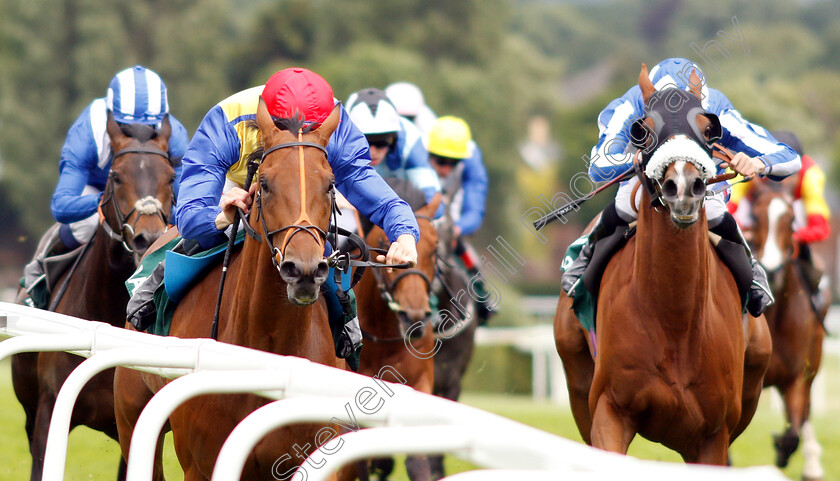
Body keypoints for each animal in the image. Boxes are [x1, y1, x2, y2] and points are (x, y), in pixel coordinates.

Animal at [113, 104, 352, 480]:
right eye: (264, 183)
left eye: (329, 185)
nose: (304, 270)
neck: (268, 351)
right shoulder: (201, 464)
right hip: (132, 417)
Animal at [354, 179, 440, 480]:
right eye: (382, 244)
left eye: (435, 249)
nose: (413, 317)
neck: (386, 339)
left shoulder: (420, 383)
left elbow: (417, 461)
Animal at [556, 65, 772, 464]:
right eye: (642, 130)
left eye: (709, 128)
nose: (683, 187)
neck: (674, 321)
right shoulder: (609, 410)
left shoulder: (713, 434)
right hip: (576, 374)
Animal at [748, 183, 828, 476]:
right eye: (756, 216)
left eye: (792, 219)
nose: (771, 271)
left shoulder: (796, 378)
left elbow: (793, 432)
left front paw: (782, 450)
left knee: (805, 413)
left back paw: (812, 464)